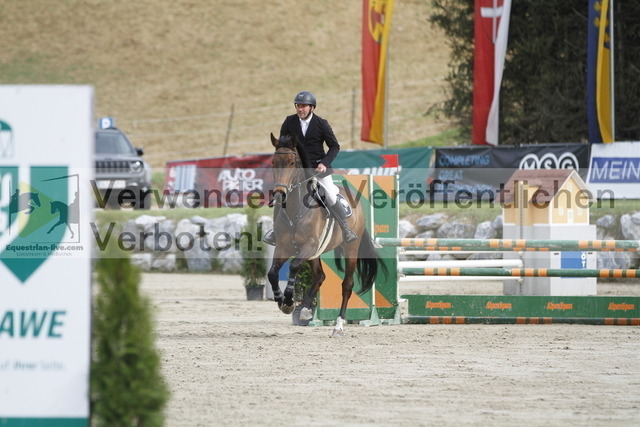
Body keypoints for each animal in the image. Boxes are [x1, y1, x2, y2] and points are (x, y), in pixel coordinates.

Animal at [267, 133, 386, 337]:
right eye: (274, 162)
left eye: (292, 162)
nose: (279, 194)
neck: (295, 209)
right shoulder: (284, 247)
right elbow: (272, 272)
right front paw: (282, 300)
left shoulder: (309, 245)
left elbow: (294, 266)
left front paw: (289, 300)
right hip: (315, 253)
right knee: (320, 276)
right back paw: (306, 310)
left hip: (350, 249)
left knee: (347, 285)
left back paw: (338, 326)